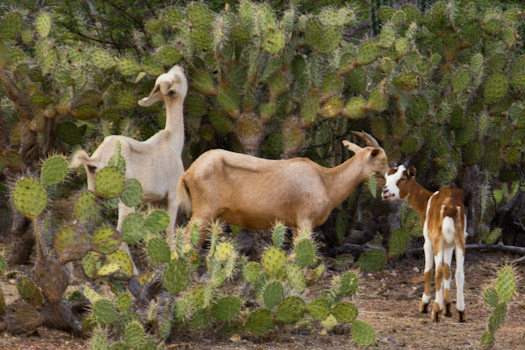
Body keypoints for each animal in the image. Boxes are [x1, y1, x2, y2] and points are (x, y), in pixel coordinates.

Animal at [178, 130, 386, 247]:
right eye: (382, 159)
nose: (386, 186)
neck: (325, 180)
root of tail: (188, 173)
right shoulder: (305, 220)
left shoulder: (294, 224)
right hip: (203, 213)